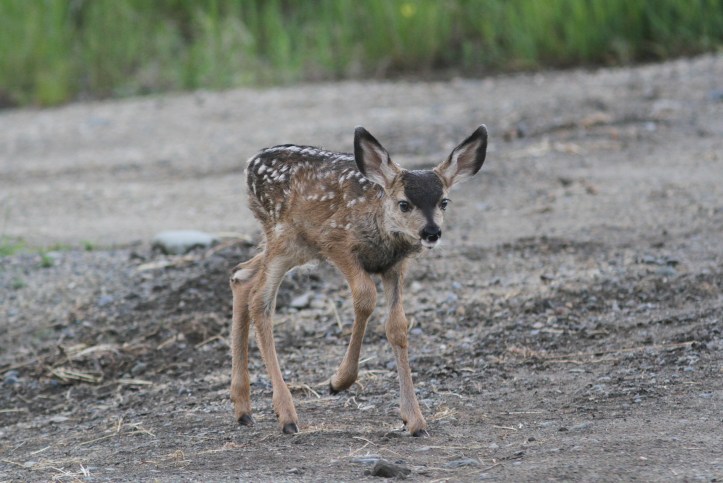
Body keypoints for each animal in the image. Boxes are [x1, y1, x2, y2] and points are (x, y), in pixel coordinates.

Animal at [229, 125, 488, 436]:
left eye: (444, 202)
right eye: (404, 204)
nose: (431, 232)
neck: (380, 228)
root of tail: (250, 163)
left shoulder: (395, 267)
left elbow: (397, 326)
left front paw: (414, 420)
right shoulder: (336, 244)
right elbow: (365, 298)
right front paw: (339, 381)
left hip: (295, 248)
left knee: (242, 275)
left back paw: (243, 408)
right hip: (284, 237)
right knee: (260, 299)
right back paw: (286, 415)